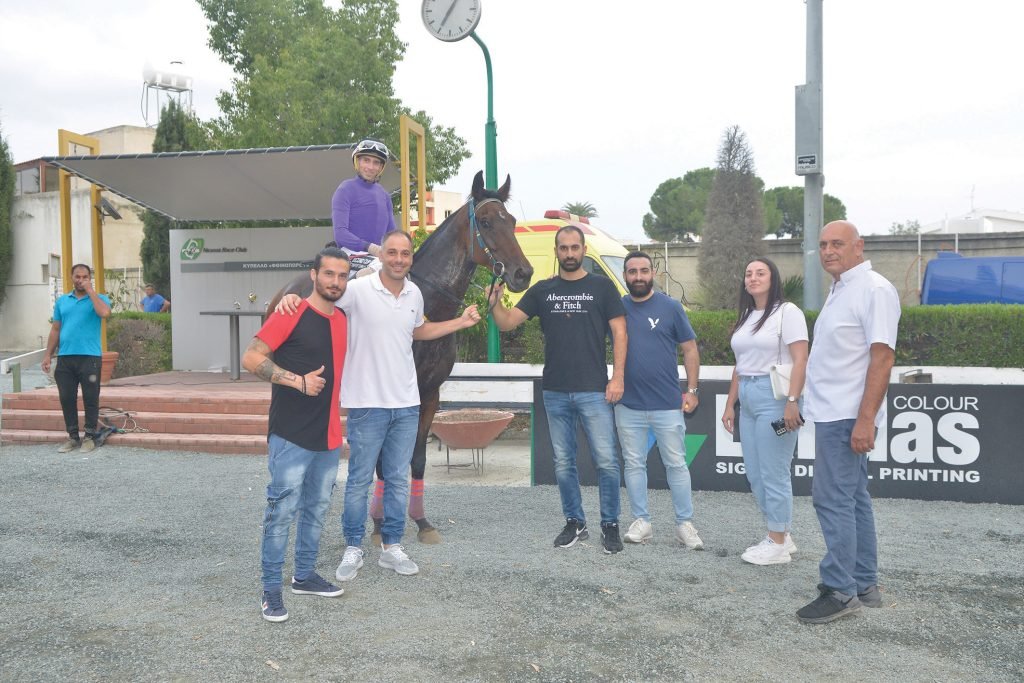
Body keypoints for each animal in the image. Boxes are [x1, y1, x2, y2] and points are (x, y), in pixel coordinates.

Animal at [268, 171, 533, 543]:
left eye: (511, 221)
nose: (523, 273)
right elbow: (382, 462)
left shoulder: (429, 394)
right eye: (486, 222)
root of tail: (285, 292)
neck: (426, 308)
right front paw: (380, 525)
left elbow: (416, 459)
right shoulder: (388, 399)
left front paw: (420, 522)